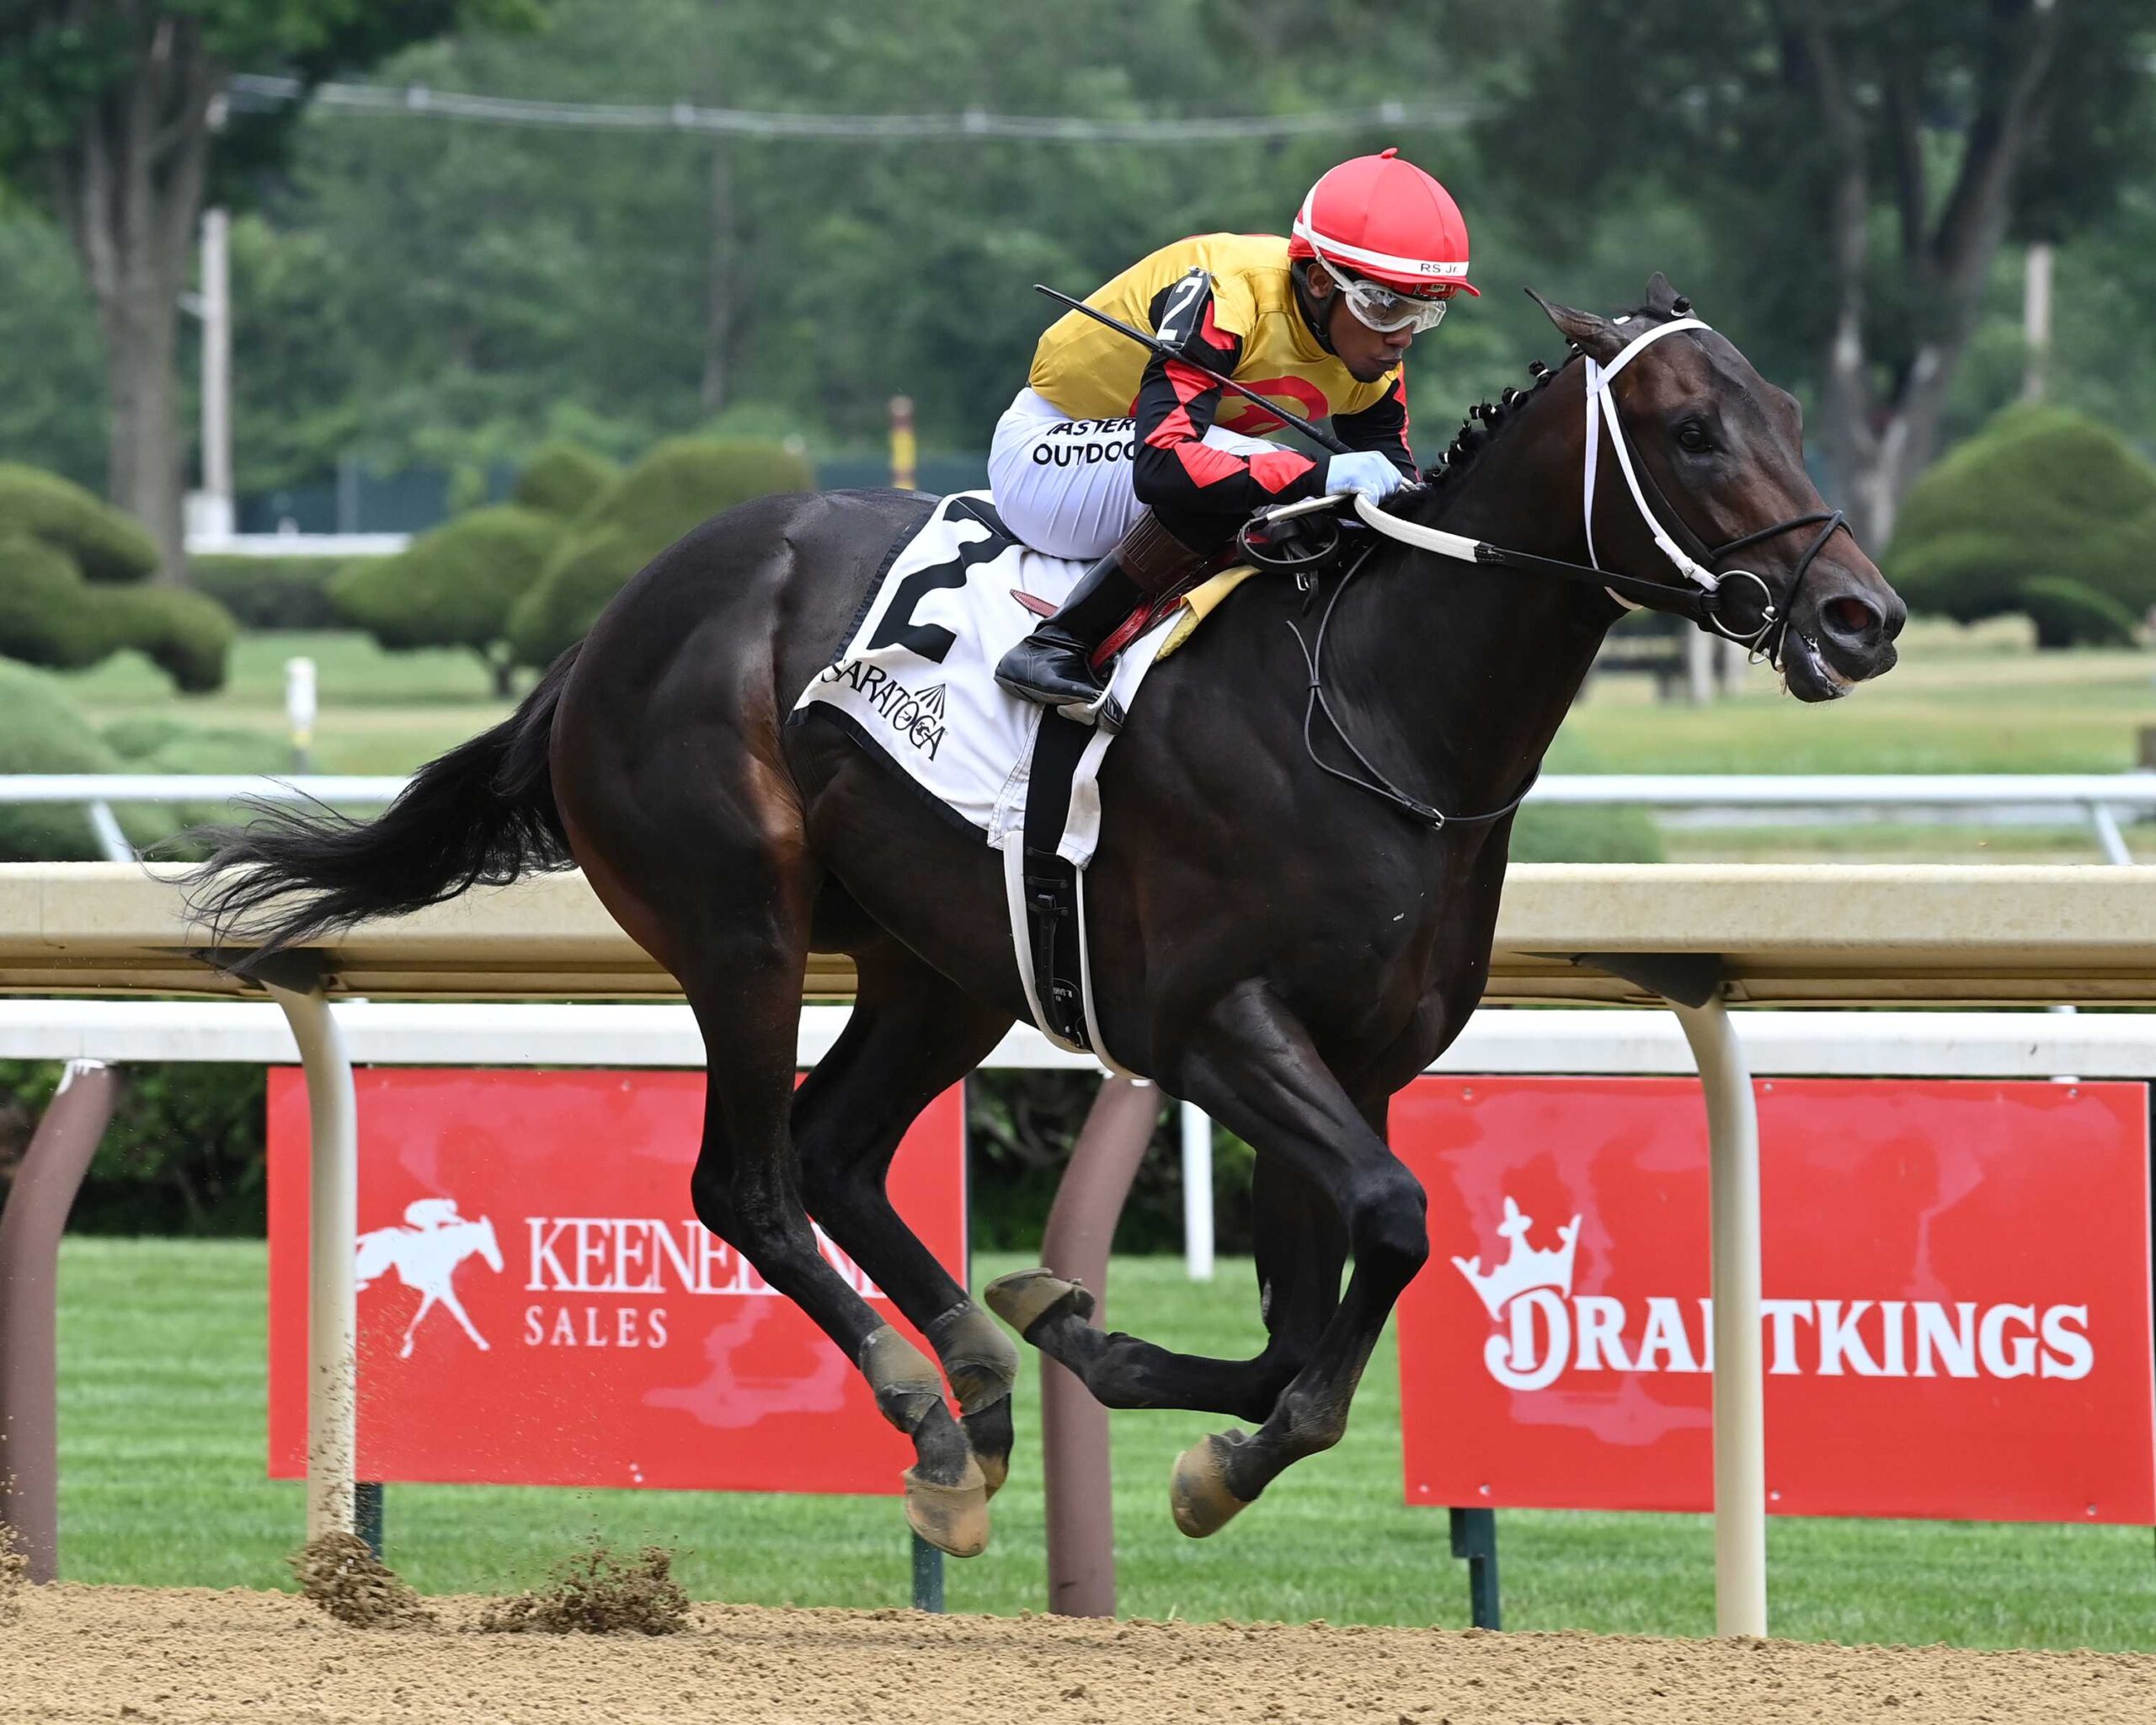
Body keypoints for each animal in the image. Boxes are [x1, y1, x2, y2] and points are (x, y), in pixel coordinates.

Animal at [191, 276, 1903, 1560]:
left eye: (1791, 412)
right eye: (1692, 430)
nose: (1861, 615)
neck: (1377, 712)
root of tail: (612, 619)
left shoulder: (1352, 1061)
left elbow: (1311, 1310)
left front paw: (1103, 1349)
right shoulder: (1214, 1025)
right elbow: (1395, 1225)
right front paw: (1182, 1425)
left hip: (942, 964)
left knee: (833, 1150)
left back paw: (979, 1375)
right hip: (742, 923)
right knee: (747, 1178)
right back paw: (927, 1411)